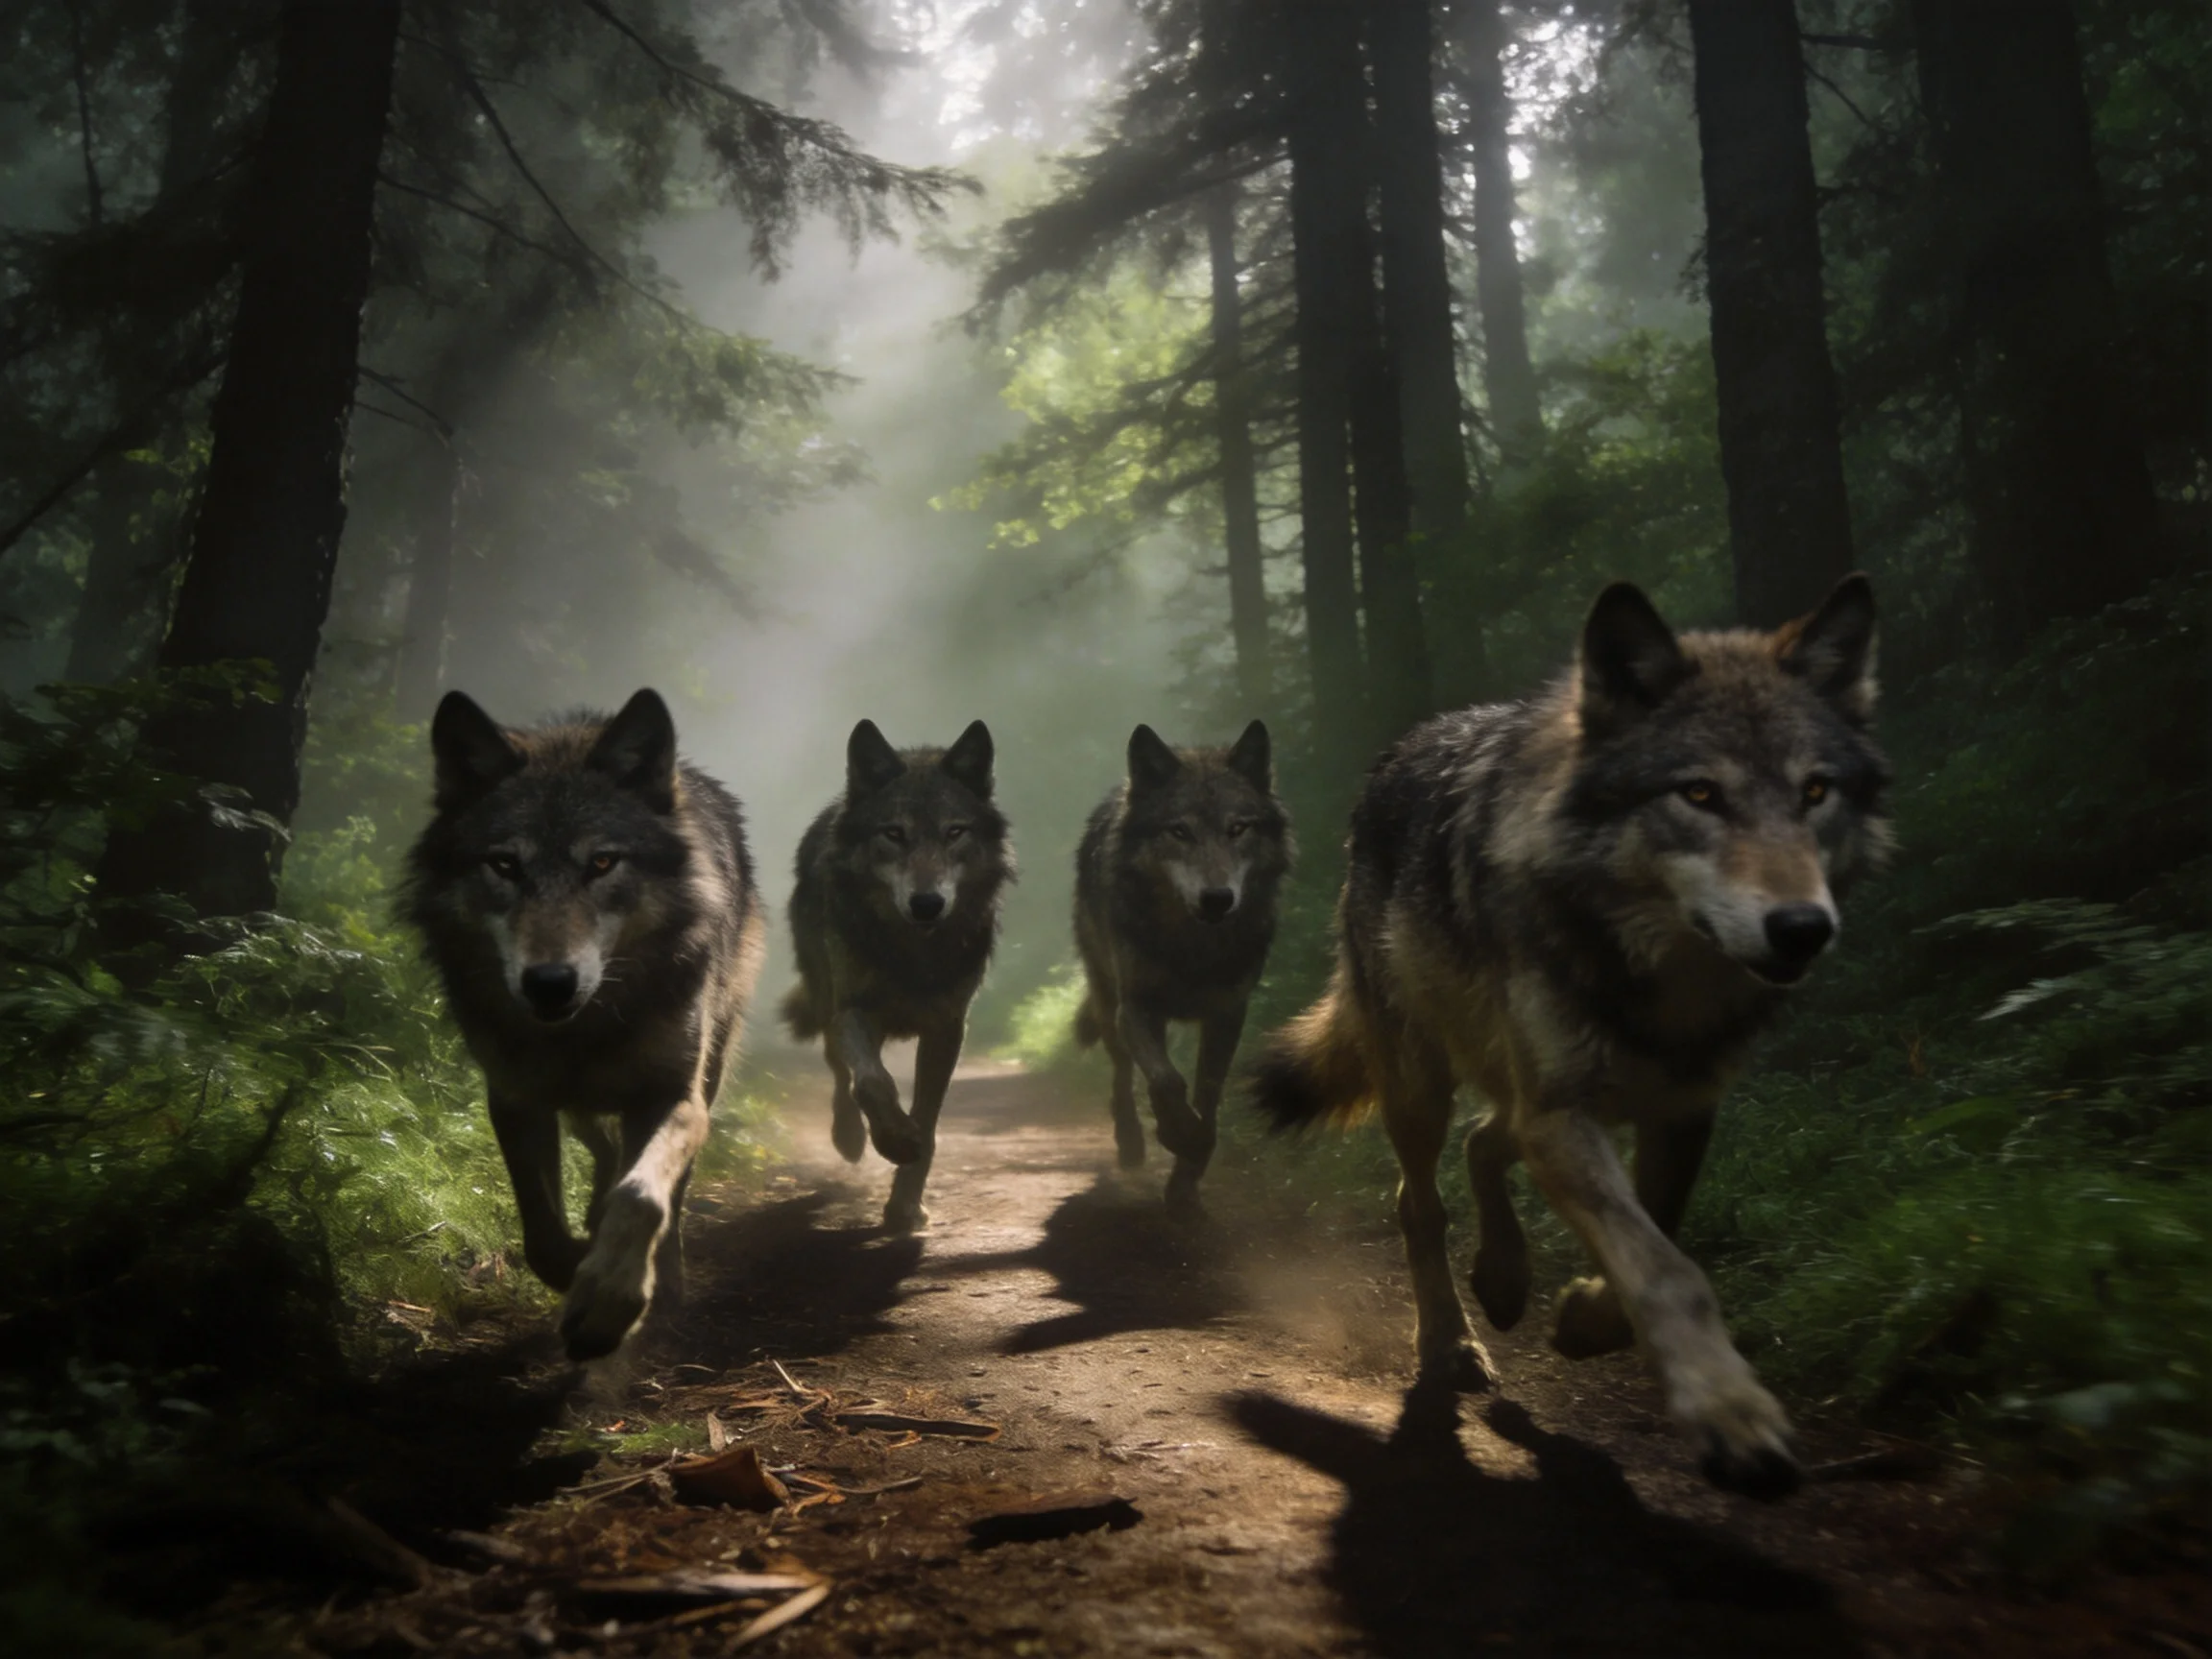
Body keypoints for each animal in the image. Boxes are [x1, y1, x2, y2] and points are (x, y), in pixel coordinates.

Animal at [406, 688, 765, 1362]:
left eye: (602, 862)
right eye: (505, 865)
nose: (550, 982)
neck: (586, 1029)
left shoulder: (672, 1096)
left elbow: (642, 1197)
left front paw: (610, 1303)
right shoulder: (515, 1098)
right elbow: (541, 1231)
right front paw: (578, 1267)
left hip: (707, 1077)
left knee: (661, 1188)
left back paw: (663, 1277)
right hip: (579, 1109)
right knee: (602, 1152)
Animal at [781, 719, 1012, 1233]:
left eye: (954, 832)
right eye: (894, 833)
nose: (927, 904)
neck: (913, 954)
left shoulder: (947, 1027)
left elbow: (928, 1119)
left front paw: (905, 1203)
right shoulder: (854, 1009)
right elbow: (872, 1083)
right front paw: (893, 1141)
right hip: (827, 1003)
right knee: (839, 1072)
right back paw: (849, 1138)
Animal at [1073, 721, 1292, 1212]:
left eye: (1237, 829)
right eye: (1179, 832)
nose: (1217, 898)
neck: (1193, 948)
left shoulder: (1228, 1014)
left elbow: (1207, 1094)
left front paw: (1186, 1181)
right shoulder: (1137, 1009)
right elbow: (1167, 1081)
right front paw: (1180, 1136)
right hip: (1109, 1005)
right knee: (1121, 1075)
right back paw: (1131, 1143)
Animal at [1252, 575, 1889, 1498]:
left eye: (1816, 792)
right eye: (1700, 794)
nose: (1802, 928)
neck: (1652, 978)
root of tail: (1394, 754)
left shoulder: (1681, 1110)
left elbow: (1661, 1233)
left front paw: (1586, 1322)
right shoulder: (1564, 1112)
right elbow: (1666, 1267)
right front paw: (1731, 1413)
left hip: (1515, 1088)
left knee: (1486, 1142)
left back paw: (1504, 1280)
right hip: (1421, 1084)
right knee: (1420, 1201)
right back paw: (1453, 1340)